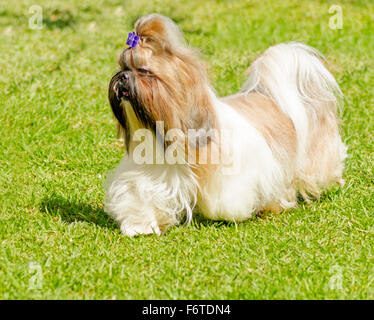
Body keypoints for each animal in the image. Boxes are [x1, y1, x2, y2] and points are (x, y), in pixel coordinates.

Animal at [103, 13, 346, 236]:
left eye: (144, 71)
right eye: (122, 67)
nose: (122, 77)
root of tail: (273, 98)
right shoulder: (150, 172)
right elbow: (141, 193)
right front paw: (140, 224)